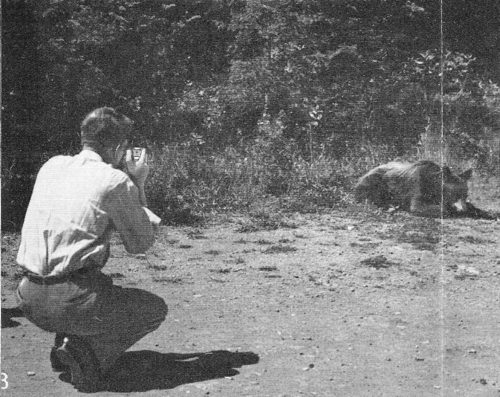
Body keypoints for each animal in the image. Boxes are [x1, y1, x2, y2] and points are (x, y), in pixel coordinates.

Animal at [356, 159, 496, 218]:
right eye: (454, 193)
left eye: (465, 193)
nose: (463, 209)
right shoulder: (417, 193)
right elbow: (441, 208)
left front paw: (485, 213)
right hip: (374, 182)